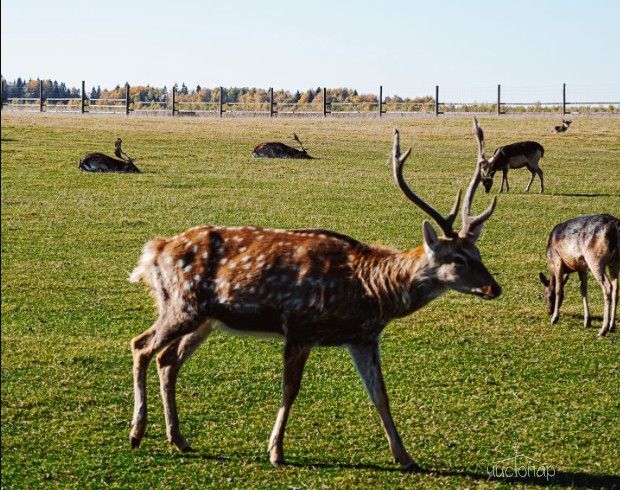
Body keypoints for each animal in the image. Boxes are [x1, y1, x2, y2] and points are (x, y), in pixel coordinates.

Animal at [128, 127, 502, 470]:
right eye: (457, 259)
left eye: (478, 253)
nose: (494, 288)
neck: (369, 291)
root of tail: (155, 249)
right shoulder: (300, 326)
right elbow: (290, 390)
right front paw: (276, 452)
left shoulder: (364, 338)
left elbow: (381, 395)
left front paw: (405, 457)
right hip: (182, 304)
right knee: (141, 345)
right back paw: (136, 433)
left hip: (205, 319)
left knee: (167, 360)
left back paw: (178, 438)